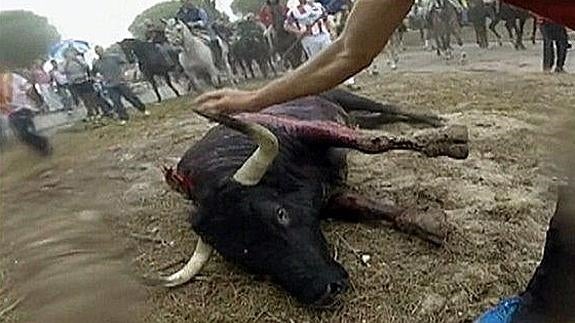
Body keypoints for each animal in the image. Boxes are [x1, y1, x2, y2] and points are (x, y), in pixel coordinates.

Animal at [151, 90, 470, 306]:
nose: (325, 291)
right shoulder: (329, 195)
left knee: (384, 108)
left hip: (342, 95)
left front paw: (451, 141)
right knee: (376, 118)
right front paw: (428, 221)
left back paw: (435, 120)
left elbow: (371, 143)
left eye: (280, 214)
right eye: (243, 257)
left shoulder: (308, 129)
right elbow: (367, 205)